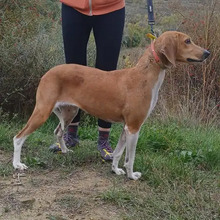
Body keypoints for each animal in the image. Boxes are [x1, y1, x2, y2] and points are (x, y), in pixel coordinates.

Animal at [12, 31, 210, 180]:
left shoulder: (126, 127)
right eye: (187, 41)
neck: (144, 75)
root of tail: (47, 73)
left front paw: (115, 170)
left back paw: (66, 150)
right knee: (18, 137)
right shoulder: (134, 127)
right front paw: (131, 176)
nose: (207, 53)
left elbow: (117, 153)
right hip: (42, 112)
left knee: (59, 132)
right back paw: (17, 164)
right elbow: (130, 157)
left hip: (70, 112)